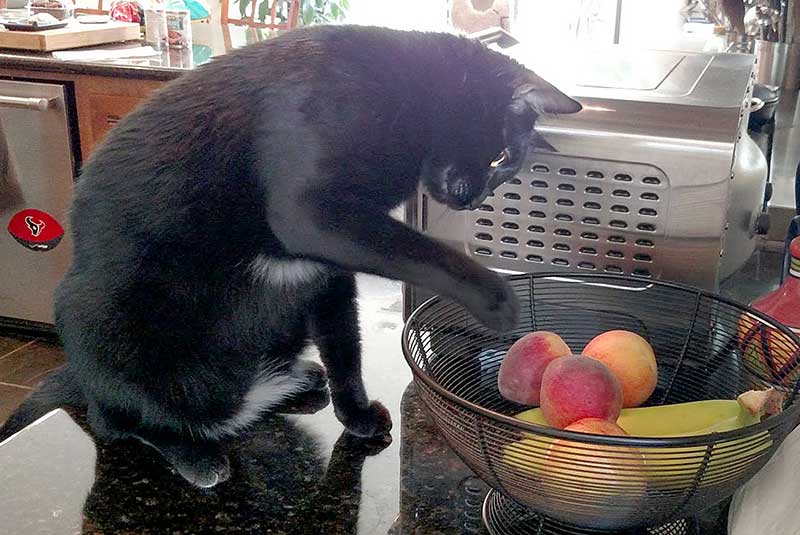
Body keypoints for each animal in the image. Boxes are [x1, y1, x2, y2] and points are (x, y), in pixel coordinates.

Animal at [0, 25, 580, 488]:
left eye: (505, 171)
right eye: (500, 157)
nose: (472, 198)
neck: (413, 96)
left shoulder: (329, 270)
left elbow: (345, 349)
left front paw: (355, 415)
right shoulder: (309, 213)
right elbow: (419, 249)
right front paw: (496, 298)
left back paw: (291, 381)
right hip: (100, 322)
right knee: (123, 419)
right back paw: (196, 454)